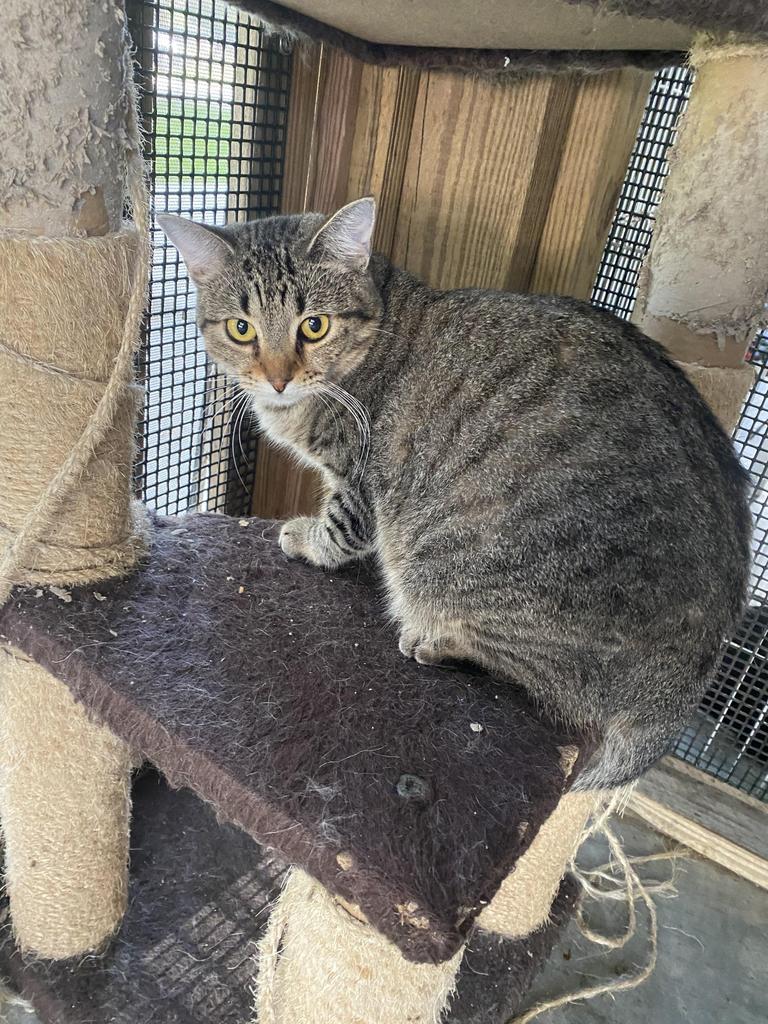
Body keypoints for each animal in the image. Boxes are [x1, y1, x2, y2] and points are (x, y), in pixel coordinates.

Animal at [157, 199, 753, 790]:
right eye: (241, 329)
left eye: (315, 325)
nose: (278, 379)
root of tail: (678, 693)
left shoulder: (361, 480)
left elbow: (340, 528)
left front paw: (305, 540)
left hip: (465, 573)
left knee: (541, 676)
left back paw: (435, 641)